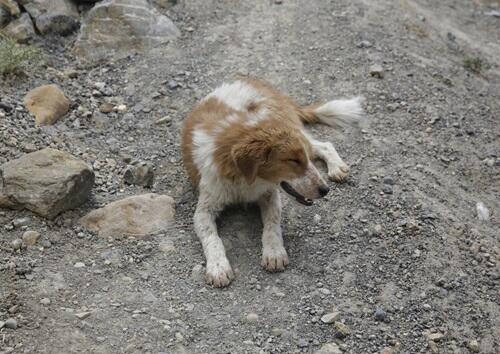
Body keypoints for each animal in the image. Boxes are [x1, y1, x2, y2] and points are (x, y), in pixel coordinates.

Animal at [182, 78, 362, 288]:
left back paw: (336, 167)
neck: (245, 180)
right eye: (293, 161)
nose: (325, 190)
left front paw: (274, 252)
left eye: (301, 160)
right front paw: (218, 267)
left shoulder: (270, 194)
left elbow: (272, 225)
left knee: (324, 144)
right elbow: (212, 237)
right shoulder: (204, 209)